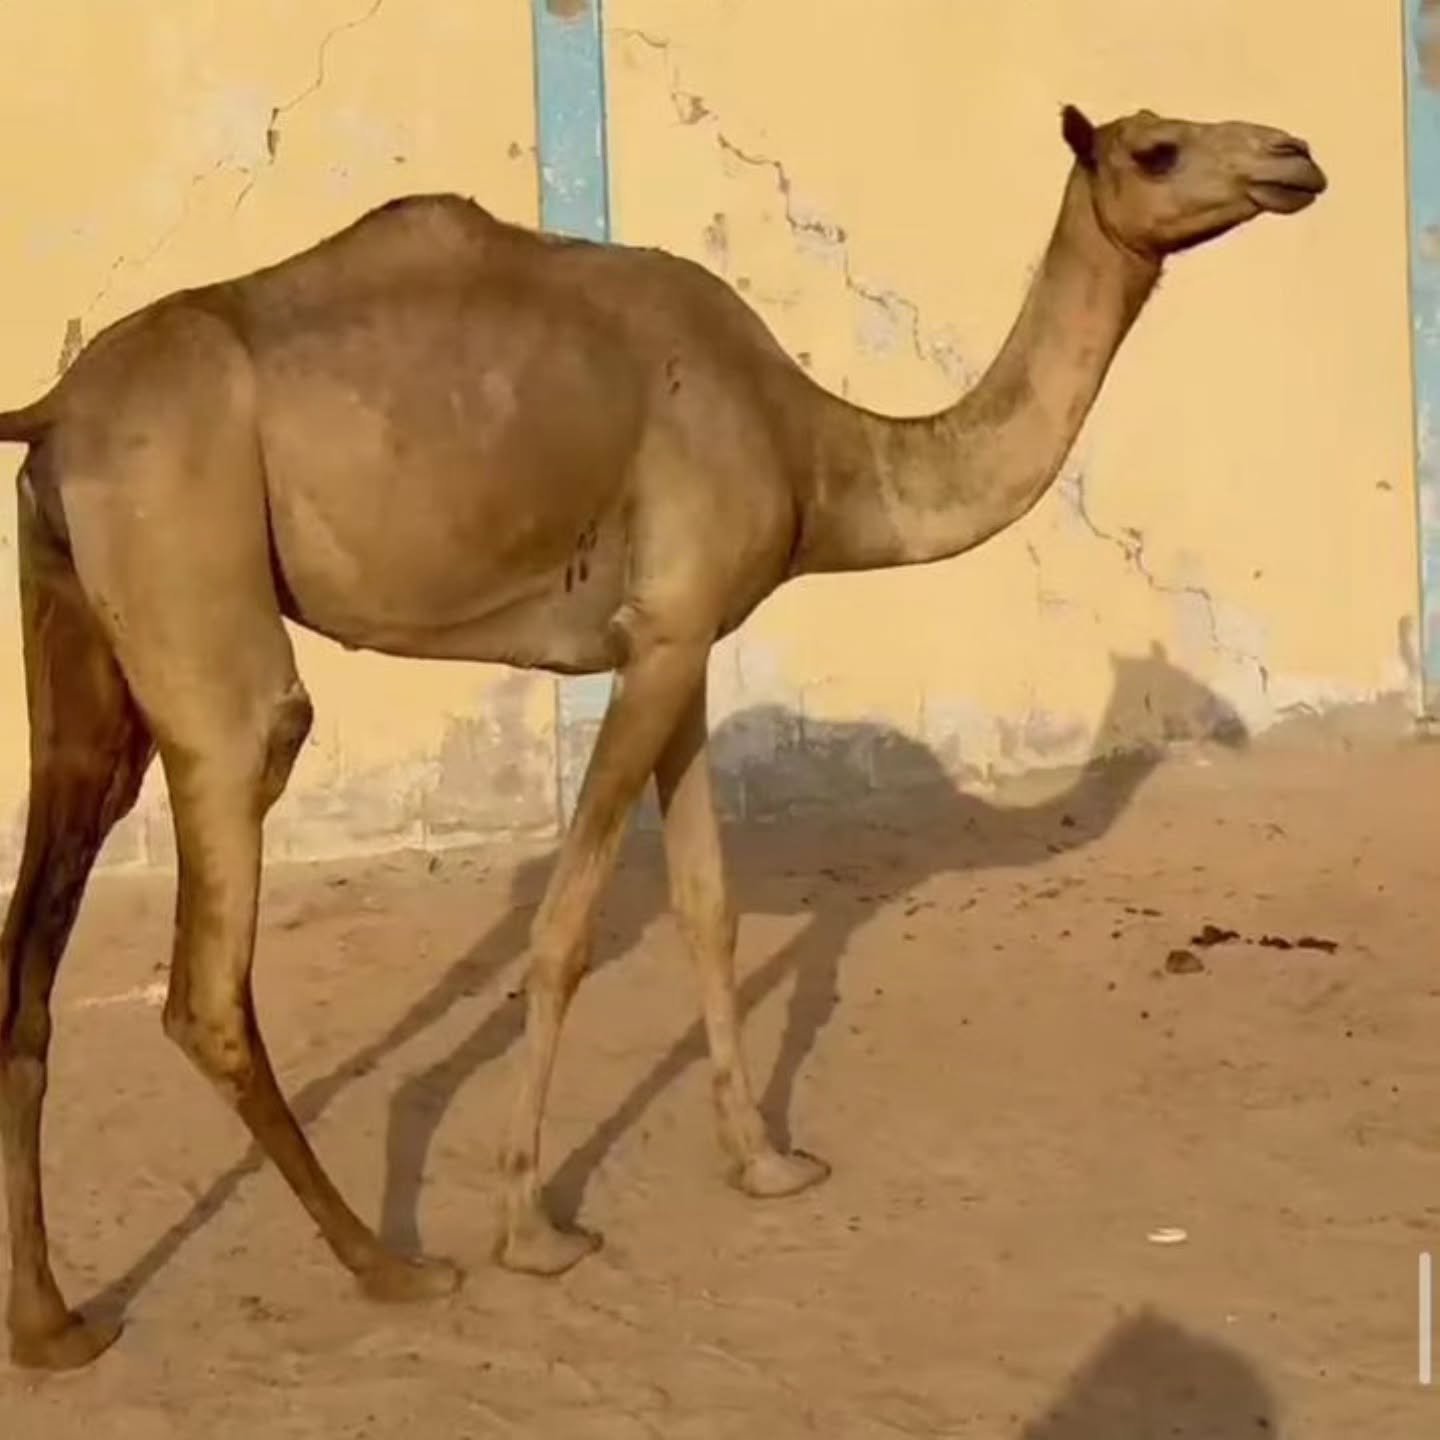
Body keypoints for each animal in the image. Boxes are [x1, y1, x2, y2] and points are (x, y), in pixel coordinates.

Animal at [0, 102, 1324, 1369]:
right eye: (1158, 150)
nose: (1295, 157)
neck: (818, 447)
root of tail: (55, 407)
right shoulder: (666, 636)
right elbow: (568, 932)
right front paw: (533, 1230)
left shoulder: (683, 646)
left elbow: (708, 908)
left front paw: (768, 1162)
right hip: (194, 573)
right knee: (212, 964)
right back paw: (391, 1265)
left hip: (80, 629)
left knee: (44, 920)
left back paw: (56, 1327)